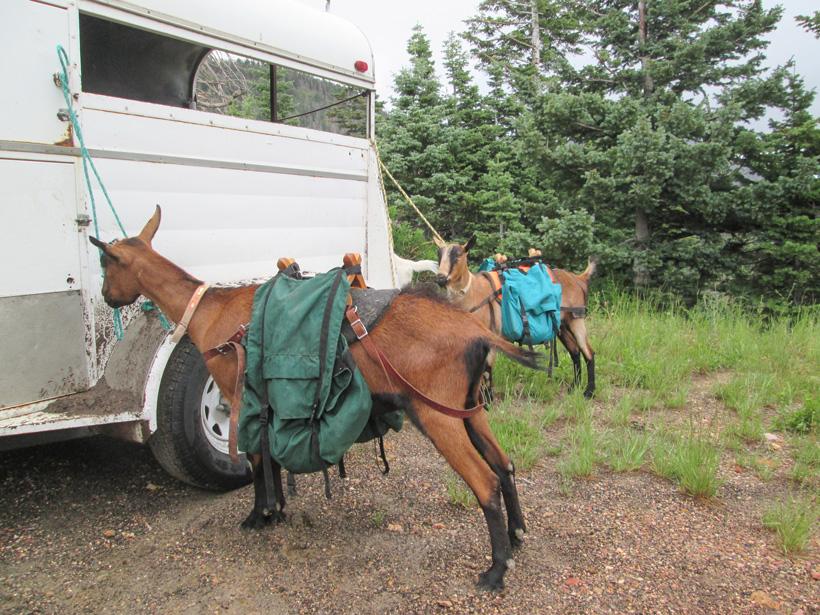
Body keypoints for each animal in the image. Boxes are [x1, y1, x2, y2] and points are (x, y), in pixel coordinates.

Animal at [90, 207, 542, 591]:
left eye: (105, 262)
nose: (109, 298)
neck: (210, 312)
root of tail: (476, 332)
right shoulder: (266, 402)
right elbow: (269, 458)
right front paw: (278, 510)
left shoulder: (238, 396)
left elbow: (256, 459)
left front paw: (259, 516)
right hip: (469, 406)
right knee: (504, 465)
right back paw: (518, 535)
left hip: (436, 413)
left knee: (484, 481)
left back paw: (496, 570)